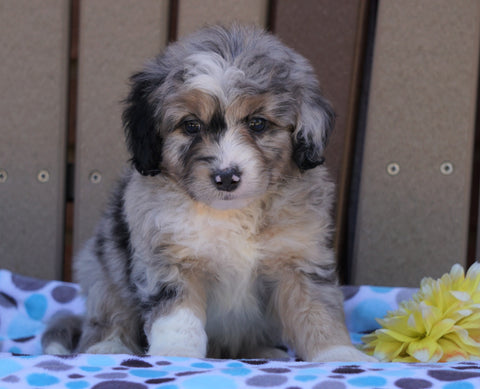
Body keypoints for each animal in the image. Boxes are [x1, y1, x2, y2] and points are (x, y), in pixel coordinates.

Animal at [43, 25, 376, 362]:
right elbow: (178, 317)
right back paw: (107, 348)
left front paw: (339, 356)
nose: (226, 177)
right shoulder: (169, 260)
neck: (230, 212)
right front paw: (175, 355)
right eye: (191, 125)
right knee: (109, 315)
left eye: (258, 123)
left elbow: (317, 310)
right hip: (102, 270)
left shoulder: (300, 259)